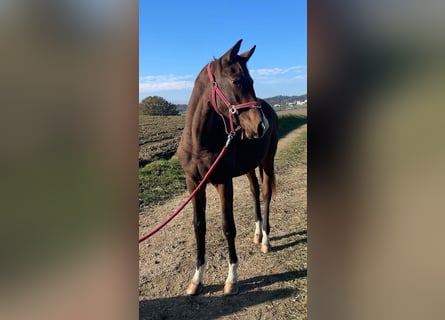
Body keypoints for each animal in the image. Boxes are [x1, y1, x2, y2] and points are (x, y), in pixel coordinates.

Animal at [176, 40, 278, 298]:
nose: (261, 125)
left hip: (267, 161)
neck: (200, 141)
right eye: (236, 81)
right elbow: (199, 226)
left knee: (265, 194)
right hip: (250, 167)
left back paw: (265, 240)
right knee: (254, 192)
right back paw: (257, 234)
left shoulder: (223, 181)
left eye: (252, 81)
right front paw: (196, 280)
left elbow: (228, 226)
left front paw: (232, 279)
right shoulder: (193, 183)